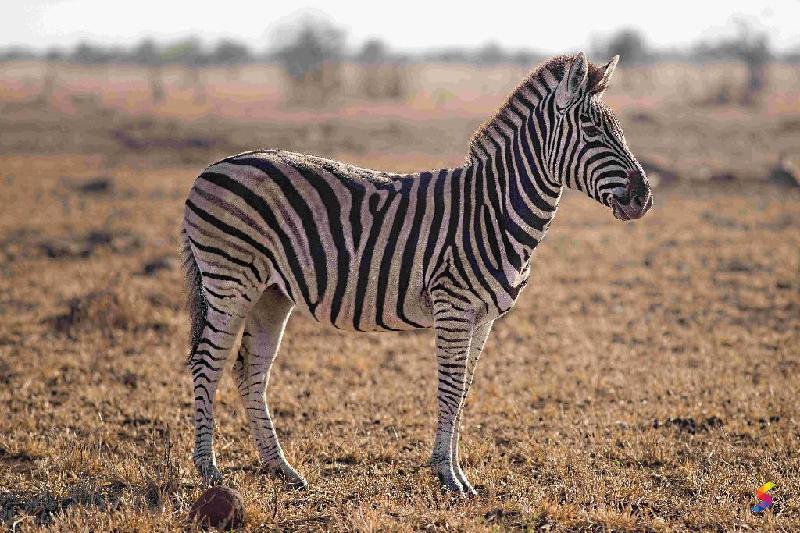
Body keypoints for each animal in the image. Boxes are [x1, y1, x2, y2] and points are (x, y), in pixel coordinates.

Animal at [181, 52, 653, 495]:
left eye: (617, 128)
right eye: (591, 129)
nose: (644, 198)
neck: (494, 210)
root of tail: (211, 168)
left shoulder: (484, 318)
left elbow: (463, 390)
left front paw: (455, 471)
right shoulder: (454, 305)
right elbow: (449, 388)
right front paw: (448, 476)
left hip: (271, 293)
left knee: (249, 369)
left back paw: (281, 468)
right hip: (230, 281)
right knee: (207, 363)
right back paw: (209, 471)